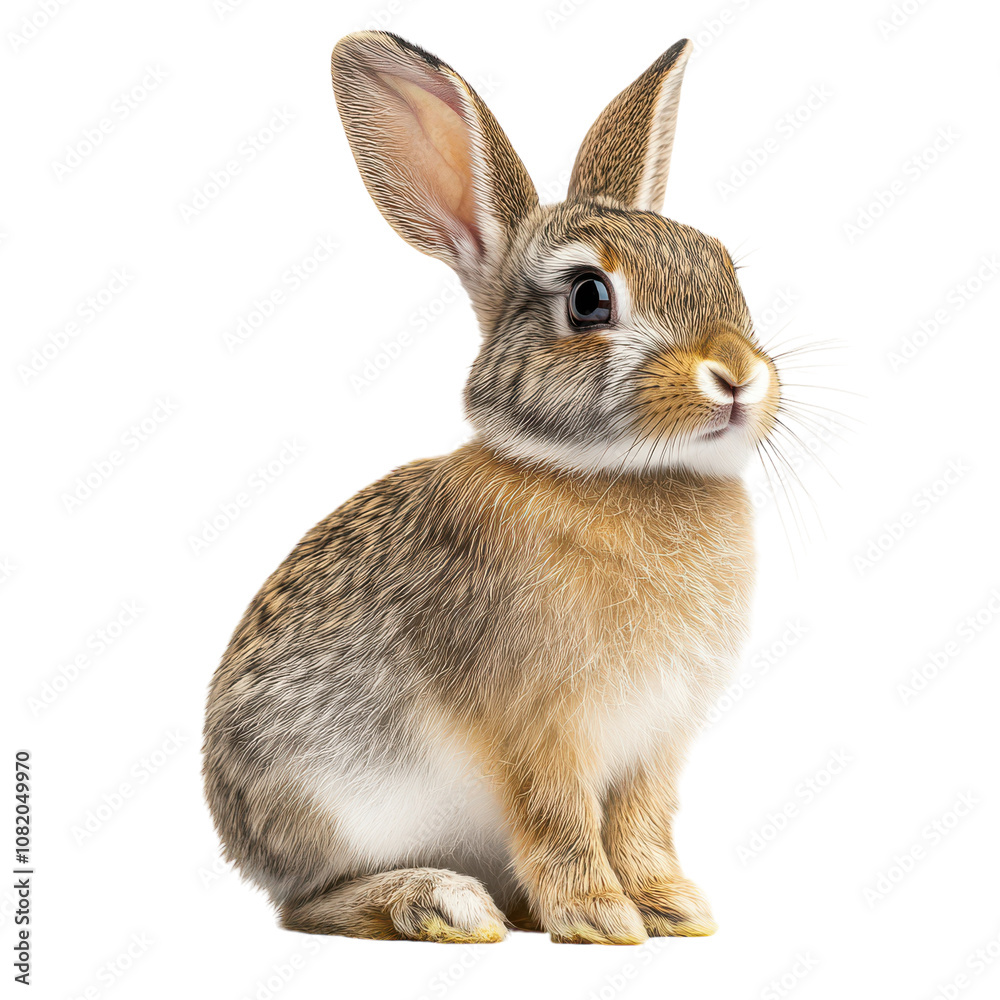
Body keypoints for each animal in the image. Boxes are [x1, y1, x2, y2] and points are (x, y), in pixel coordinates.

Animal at [203, 30, 781, 945]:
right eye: (589, 298)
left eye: (726, 269)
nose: (736, 375)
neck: (612, 473)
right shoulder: (537, 730)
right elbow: (561, 821)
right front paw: (601, 919)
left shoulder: (655, 743)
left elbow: (641, 824)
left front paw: (672, 908)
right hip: (334, 807)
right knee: (307, 905)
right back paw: (444, 903)